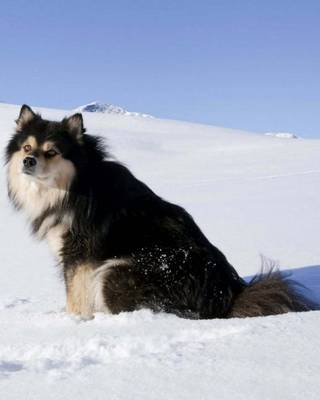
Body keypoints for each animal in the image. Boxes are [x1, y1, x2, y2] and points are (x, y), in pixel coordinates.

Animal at [4, 105, 316, 318]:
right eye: (27, 147)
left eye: (52, 152)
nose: (28, 161)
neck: (75, 184)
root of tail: (225, 299)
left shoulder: (79, 255)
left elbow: (75, 297)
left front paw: (73, 323)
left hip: (115, 271)